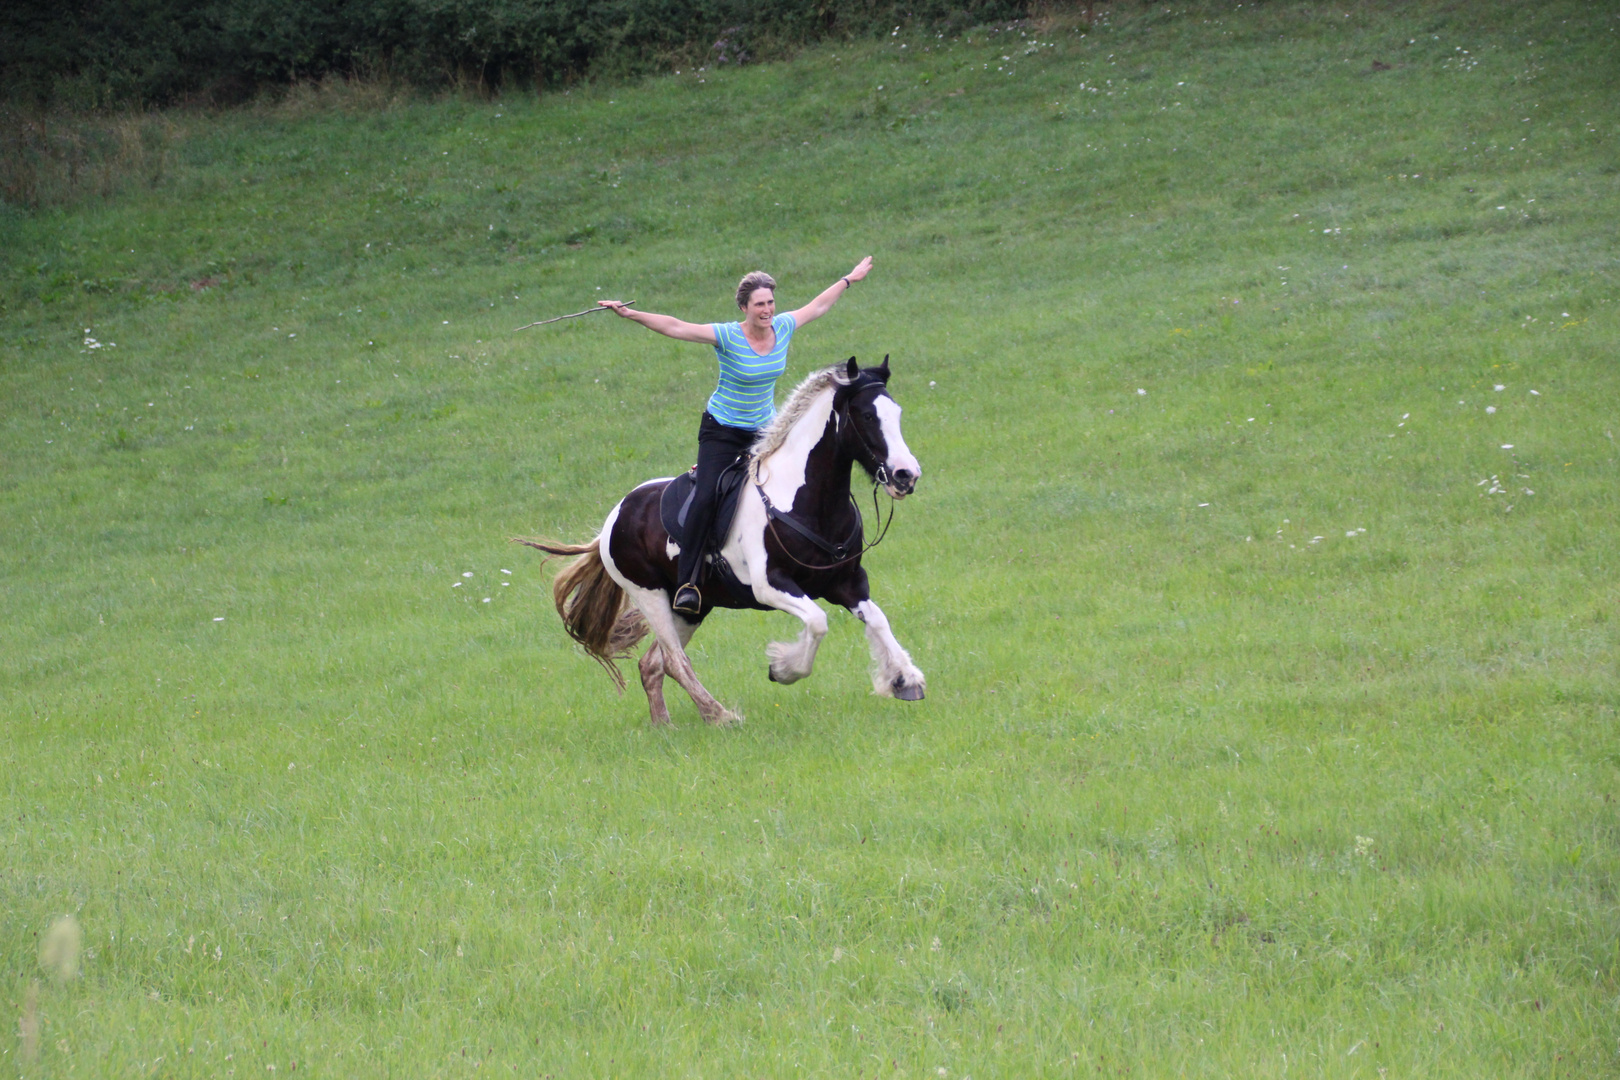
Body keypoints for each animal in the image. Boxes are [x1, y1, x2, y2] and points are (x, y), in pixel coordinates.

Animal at [518, 356, 926, 725]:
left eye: (897, 413)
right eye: (868, 416)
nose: (907, 475)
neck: (805, 500)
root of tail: (612, 521)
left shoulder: (847, 582)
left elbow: (877, 620)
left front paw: (905, 679)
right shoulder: (771, 585)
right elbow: (817, 621)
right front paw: (783, 668)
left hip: (693, 606)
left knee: (652, 664)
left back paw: (664, 726)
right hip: (650, 596)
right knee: (675, 662)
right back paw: (720, 715)